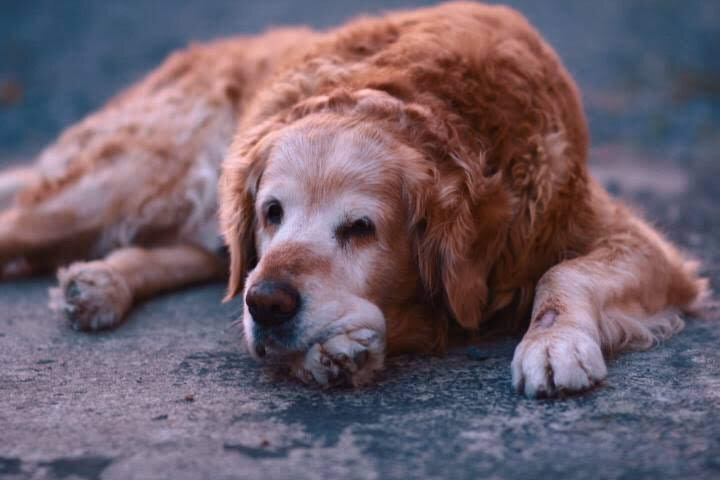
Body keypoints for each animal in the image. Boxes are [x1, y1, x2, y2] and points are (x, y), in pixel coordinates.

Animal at [1, 1, 708, 396]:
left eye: (361, 228)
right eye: (273, 213)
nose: (269, 304)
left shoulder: (628, 239)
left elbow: (565, 273)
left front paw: (553, 344)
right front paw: (338, 351)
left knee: (200, 256)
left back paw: (101, 283)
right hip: (119, 182)